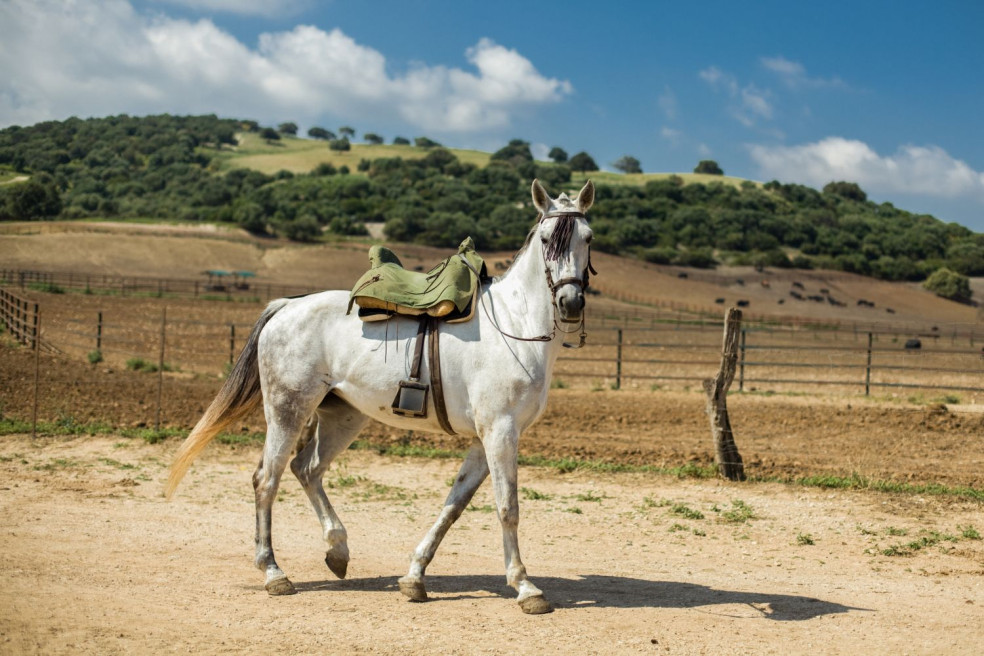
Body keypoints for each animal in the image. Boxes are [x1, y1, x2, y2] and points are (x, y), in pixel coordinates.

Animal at [166, 179, 596, 616]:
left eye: (588, 237)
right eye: (546, 239)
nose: (570, 303)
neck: (513, 326)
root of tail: (286, 306)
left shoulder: (483, 439)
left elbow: (453, 506)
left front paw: (415, 577)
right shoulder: (500, 432)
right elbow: (508, 508)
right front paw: (526, 587)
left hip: (343, 416)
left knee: (307, 468)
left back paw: (337, 551)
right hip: (288, 410)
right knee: (266, 479)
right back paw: (274, 572)